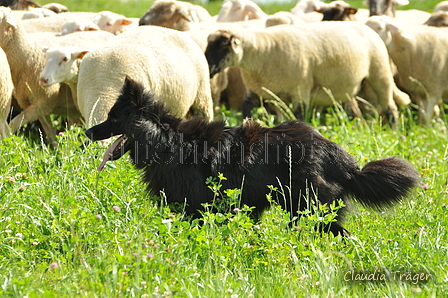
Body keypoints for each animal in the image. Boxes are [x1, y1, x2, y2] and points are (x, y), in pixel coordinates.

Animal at [85, 76, 420, 235]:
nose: (87, 132)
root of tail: (344, 162)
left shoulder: (195, 207)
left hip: (310, 208)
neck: (166, 141)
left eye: (113, 119)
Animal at [206, 21, 402, 123]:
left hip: (380, 74)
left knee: (390, 107)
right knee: (355, 112)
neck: (263, 51)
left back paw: (393, 130)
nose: (207, 68)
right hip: (347, 88)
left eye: (223, 45)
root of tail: (366, 26)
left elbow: (299, 115)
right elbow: (246, 107)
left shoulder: (300, 90)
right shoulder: (260, 91)